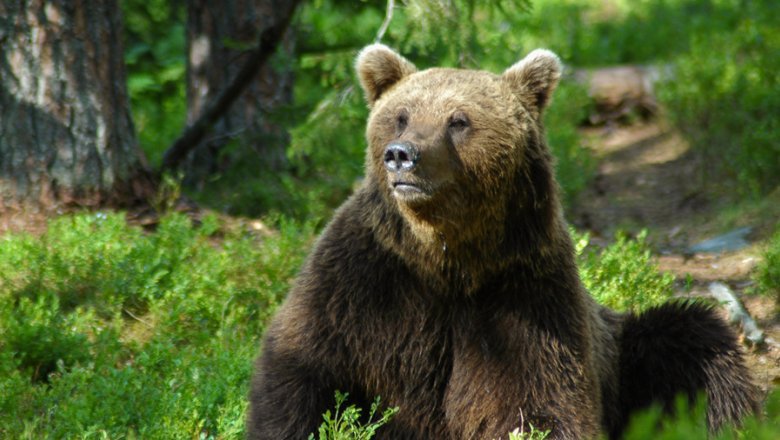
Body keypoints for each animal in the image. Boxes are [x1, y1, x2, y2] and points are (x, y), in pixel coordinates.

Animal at [248, 43, 756, 438]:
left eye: (458, 120)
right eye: (400, 116)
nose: (402, 155)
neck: (447, 257)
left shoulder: (520, 295)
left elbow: (536, 403)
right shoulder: (365, 285)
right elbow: (301, 370)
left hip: (628, 350)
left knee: (693, 338)